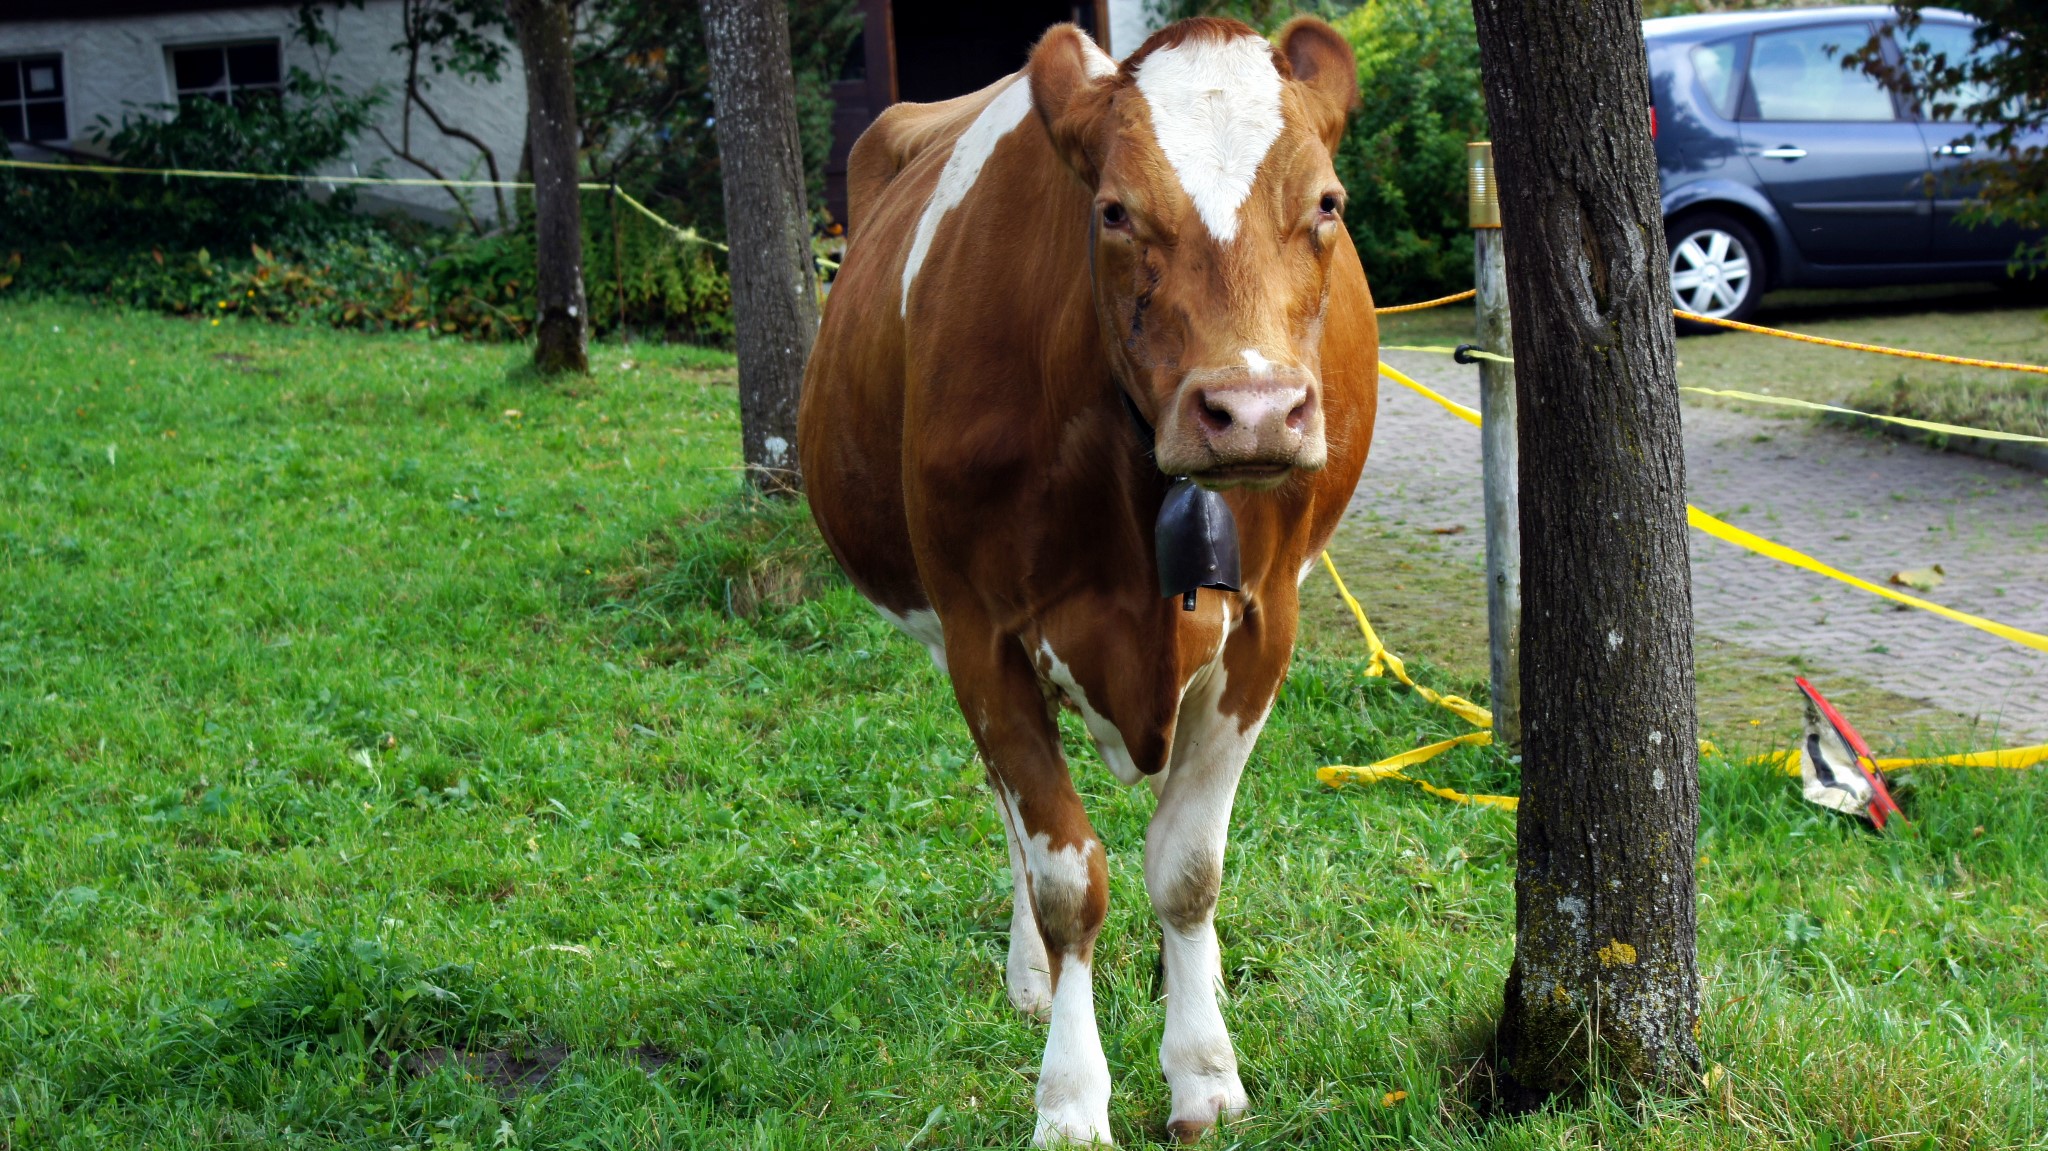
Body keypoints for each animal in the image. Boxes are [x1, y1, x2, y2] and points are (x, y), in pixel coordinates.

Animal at [798, 13, 1376, 1138]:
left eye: (1327, 201)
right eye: (1112, 210)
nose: (1251, 411)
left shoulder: (1266, 624)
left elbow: (1186, 867)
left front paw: (1203, 1070)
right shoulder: (980, 633)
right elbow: (1069, 875)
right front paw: (1069, 1097)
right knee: (1011, 816)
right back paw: (1030, 975)